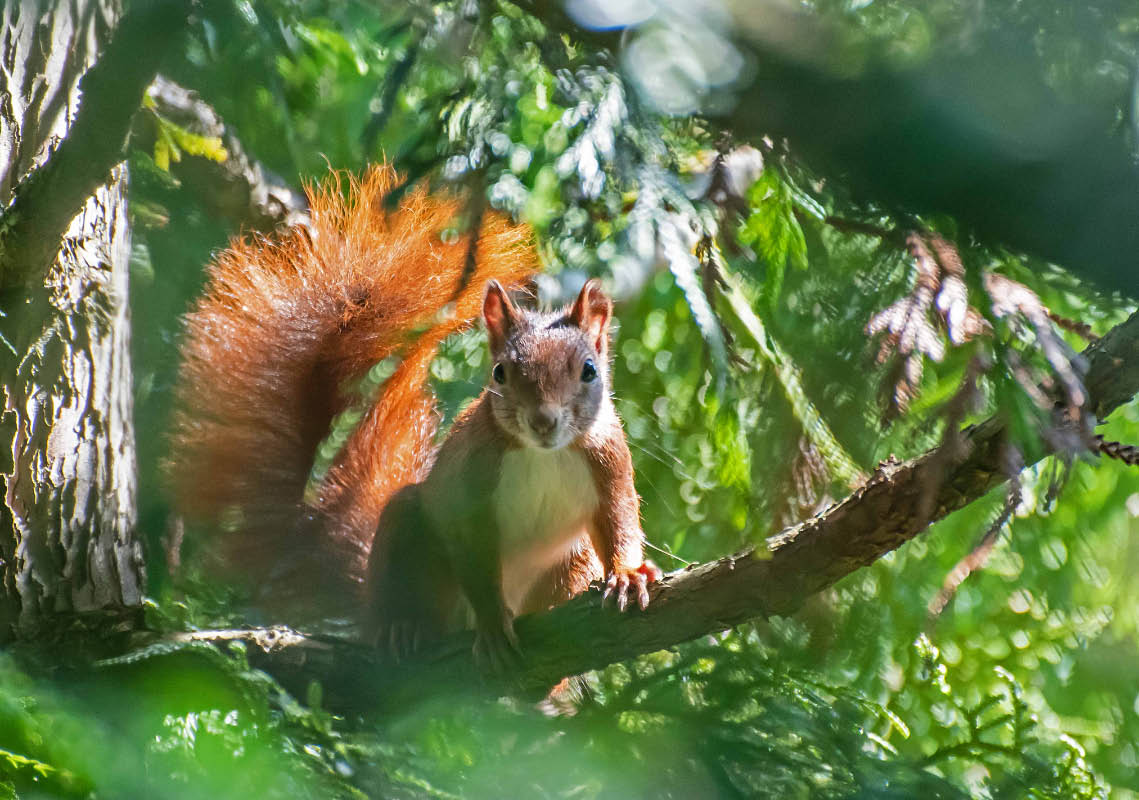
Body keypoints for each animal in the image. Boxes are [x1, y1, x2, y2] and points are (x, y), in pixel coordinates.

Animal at [169, 164, 660, 663]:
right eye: (500, 373)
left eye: (589, 370)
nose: (543, 421)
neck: (543, 455)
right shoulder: (469, 488)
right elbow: (474, 557)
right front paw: (490, 619)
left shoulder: (608, 459)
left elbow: (620, 520)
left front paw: (626, 574)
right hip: (408, 528)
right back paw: (401, 628)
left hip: (569, 561)